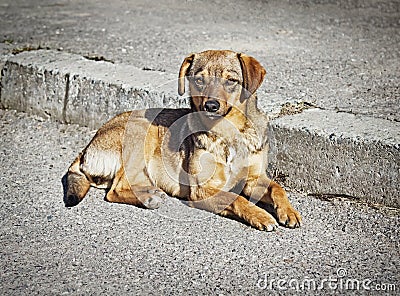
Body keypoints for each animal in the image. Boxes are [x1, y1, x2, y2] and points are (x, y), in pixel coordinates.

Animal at [64, 49, 302, 230]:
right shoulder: (202, 189)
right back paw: (149, 198)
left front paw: (288, 211)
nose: (211, 106)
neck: (227, 133)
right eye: (199, 80)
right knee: (114, 190)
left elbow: (277, 188)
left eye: (231, 81)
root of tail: (86, 149)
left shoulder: (254, 179)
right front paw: (260, 215)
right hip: (141, 132)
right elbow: (237, 199)